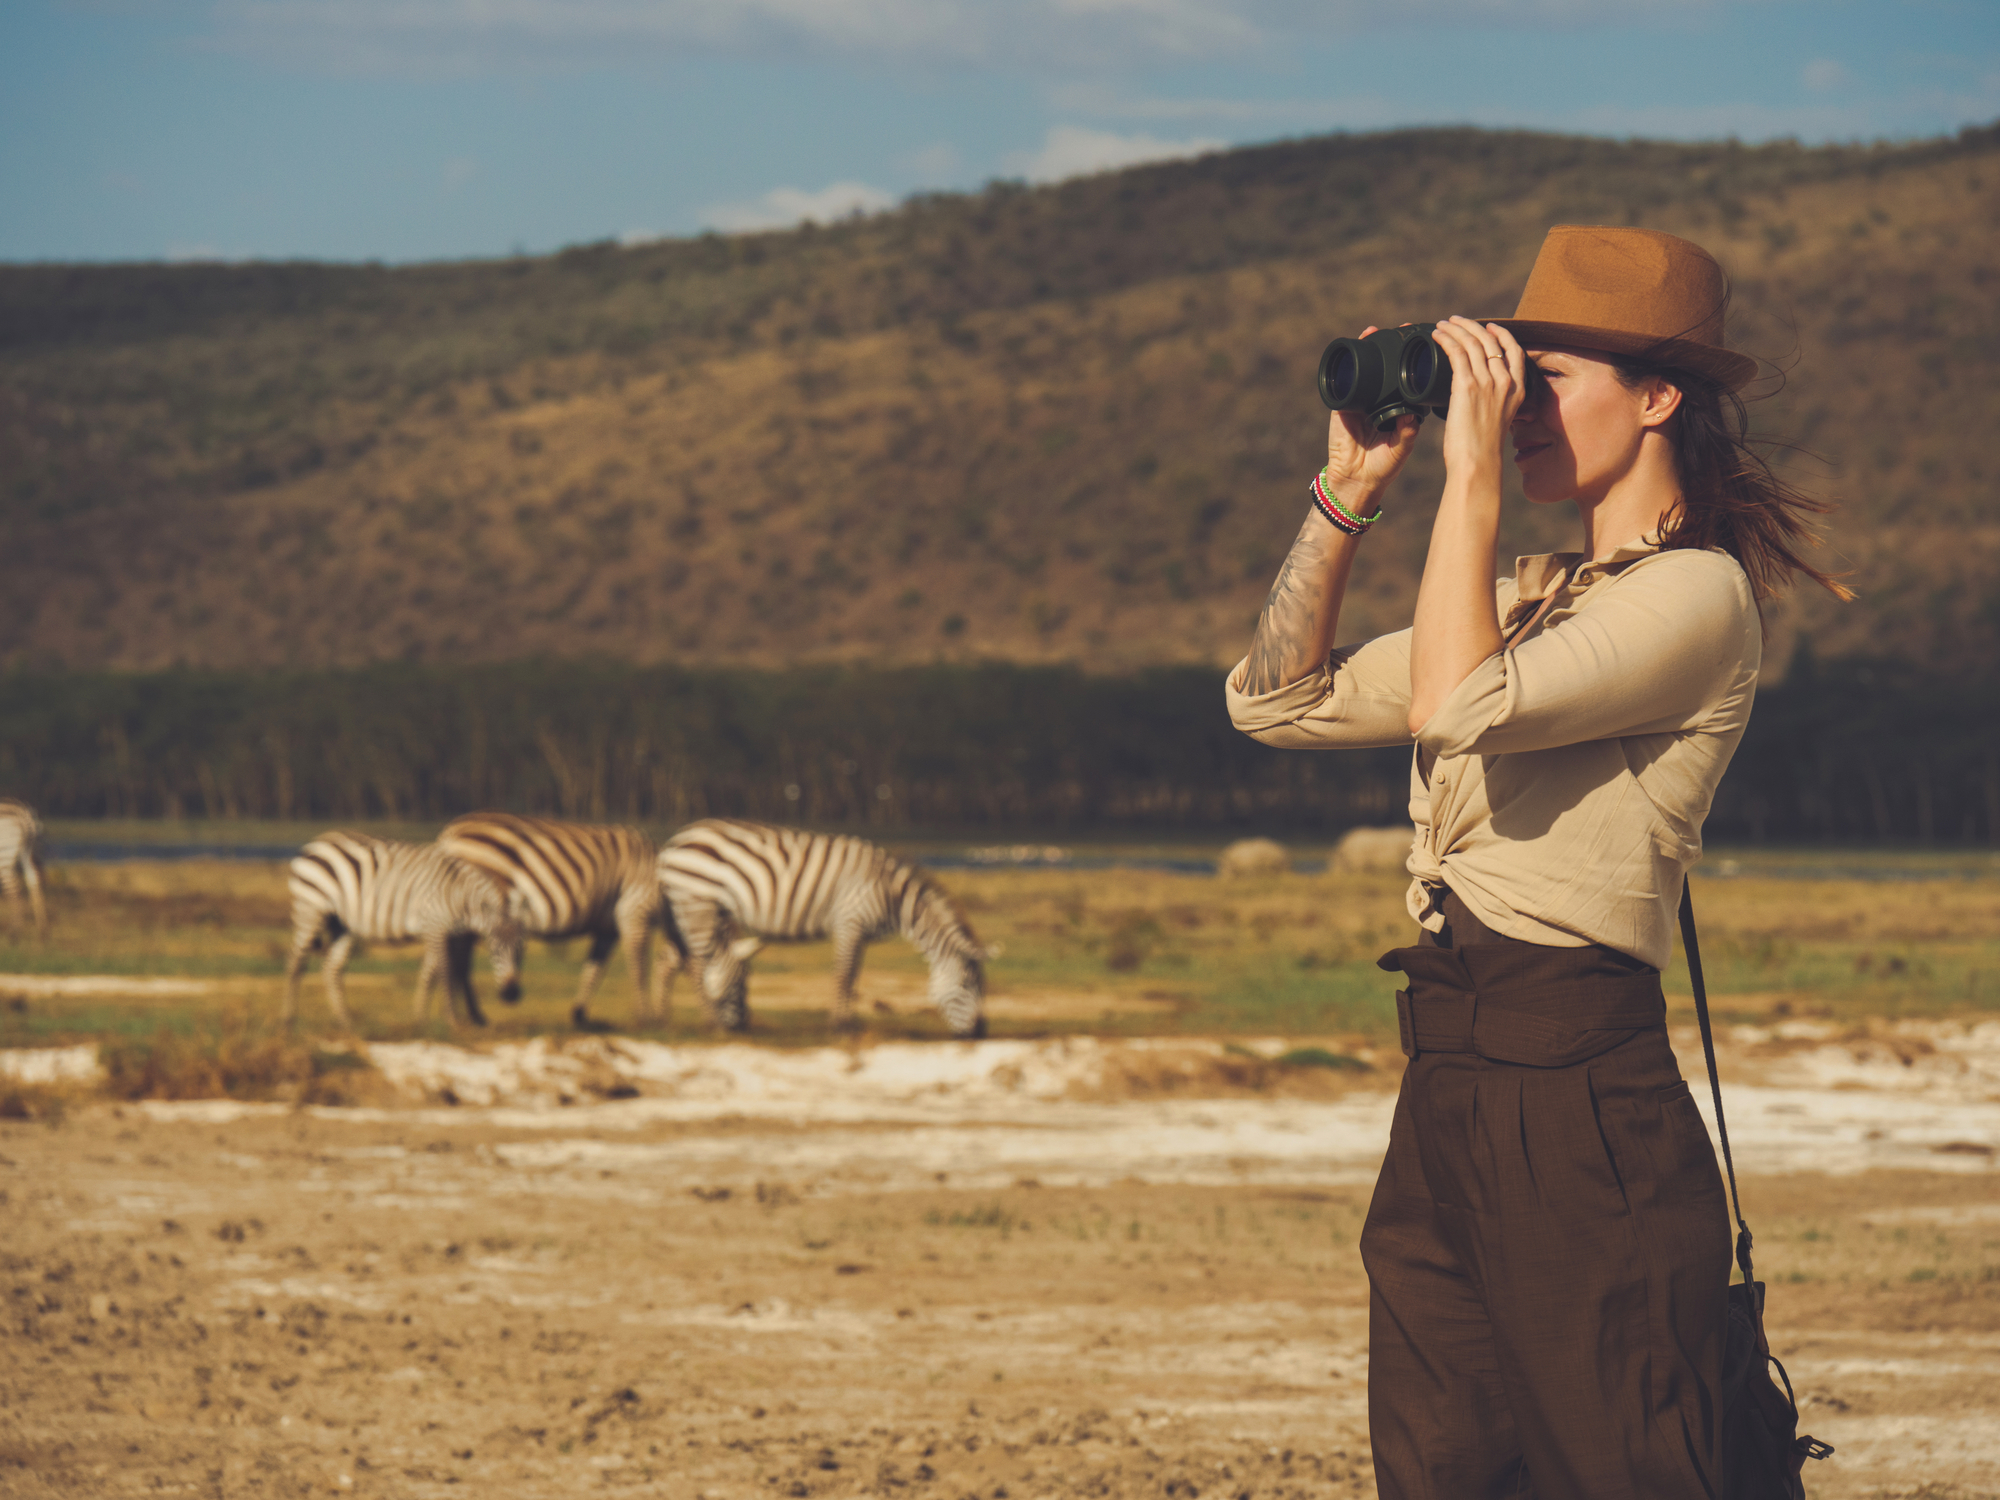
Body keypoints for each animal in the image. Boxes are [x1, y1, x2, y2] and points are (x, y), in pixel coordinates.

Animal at [0, 800, 48, 940]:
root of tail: (23, 814)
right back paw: (43, 933)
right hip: (26, 851)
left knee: (15, 892)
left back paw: (14, 934)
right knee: (34, 880)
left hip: (5, 857)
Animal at [290, 836, 528, 1032]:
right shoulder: (436, 925)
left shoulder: (442, 932)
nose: (511, 995)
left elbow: (429, 973)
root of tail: (314, 844)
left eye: (521, 951)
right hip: (310, 909)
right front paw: (452, 1020)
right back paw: (289, 1021)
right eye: (494, 949)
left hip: (342, 925)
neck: (459, 896)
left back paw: (345, 1021)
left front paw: (420, 1019)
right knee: (297, 962)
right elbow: (445, 971)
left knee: (332, 969)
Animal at [440, 812, 680, 1032]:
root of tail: (450, 832)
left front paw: (579, 1015)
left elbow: (594, 969)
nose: (666, 1022)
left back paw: (472, 1016)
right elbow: (639, 966)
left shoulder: (608, 928)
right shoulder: (635, 911)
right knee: (461, 961)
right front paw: (645, 1018)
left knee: (460, 960)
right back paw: (473, 1016)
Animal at [660, 824, 996, 1048]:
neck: (894, 897)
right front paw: (842, 1028)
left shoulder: (860, 932)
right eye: (967, 986)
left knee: (682, 960)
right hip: (696, 901)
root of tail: (675, 840)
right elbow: (844, 975)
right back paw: (712, 1023)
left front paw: (849, 1024)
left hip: (701, 908)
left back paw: (666, 1018)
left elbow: (854, 977)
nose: (979, 1034)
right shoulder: (850, 922)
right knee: (696, 964)